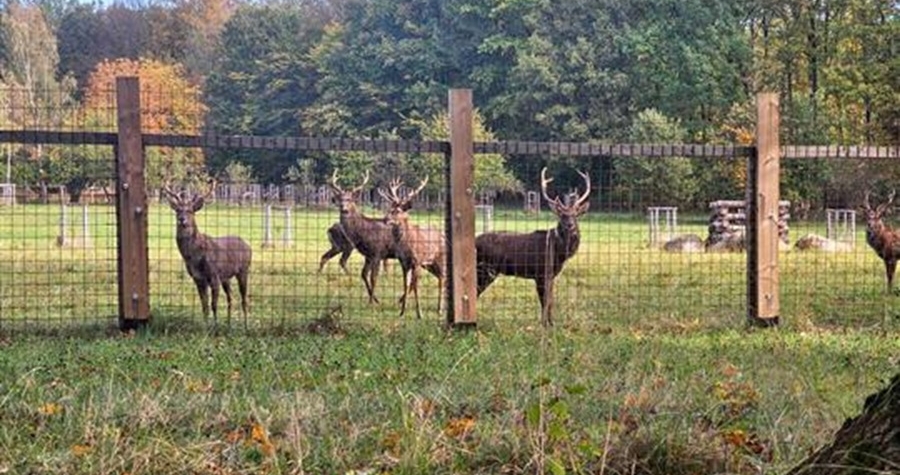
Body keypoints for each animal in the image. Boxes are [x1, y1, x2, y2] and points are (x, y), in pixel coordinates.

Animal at [162, 180, 251, 330]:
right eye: (177, 210)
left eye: (190, 211)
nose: (182, 219)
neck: (195, 257)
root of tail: (247, 245)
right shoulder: (198, 279)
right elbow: (204, 306)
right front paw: (205, 327)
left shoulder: (214, 275)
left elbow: (213, 305)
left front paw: (214, 327)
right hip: (226, 277)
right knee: (231, 297)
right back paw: (228, 324)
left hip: (244, 270)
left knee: (244, 299)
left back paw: (245, 326)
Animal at [328, 171, 400, 304]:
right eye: (340, 199)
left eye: (350, 199)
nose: (344, 209)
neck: (364, 232)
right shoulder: (368, 255)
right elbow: (363, 274)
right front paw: (375, 299)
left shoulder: (377, 253)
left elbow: (373, 277)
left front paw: (372, 302)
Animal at [376, 178, 446, 320]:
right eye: (389, 208)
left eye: (397, 211)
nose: (385, 219)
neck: (406, 244)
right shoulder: (404, 262)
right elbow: (406, 284)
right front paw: (402, 312)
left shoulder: (417, 261)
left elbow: (415, 285)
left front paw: (419, 314)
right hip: (430, 264)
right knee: (441, 277)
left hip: (439, 258)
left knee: (443, 278)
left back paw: (440, 309)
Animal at [474, 168, 596, 328]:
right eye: (562, 215)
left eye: (576, 215)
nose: (570, 225)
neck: (557, 252)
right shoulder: (540, 273)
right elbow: (544, 301)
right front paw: (543, 325)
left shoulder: (551, 275)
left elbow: (551, 300)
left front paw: (552, 323)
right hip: (485, 270)